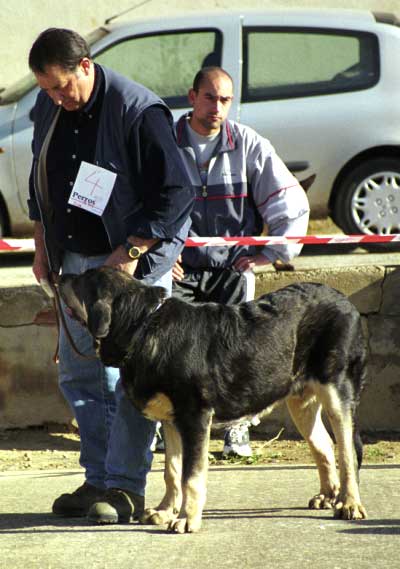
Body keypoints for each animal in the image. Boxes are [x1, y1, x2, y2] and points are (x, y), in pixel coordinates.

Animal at [57, 266, 368, 532]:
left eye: (81, 280)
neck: (142, 327)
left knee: (346, 452)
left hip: (337, 391)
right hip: (300, 401)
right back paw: (327, 496)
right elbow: (172, 472)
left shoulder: (195, 417)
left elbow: (190, 476)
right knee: (323, 446)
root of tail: (346, 301)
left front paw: (186, 519)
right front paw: (165, 511)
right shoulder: (171, 421)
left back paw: (349, 504)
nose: (60, 275)